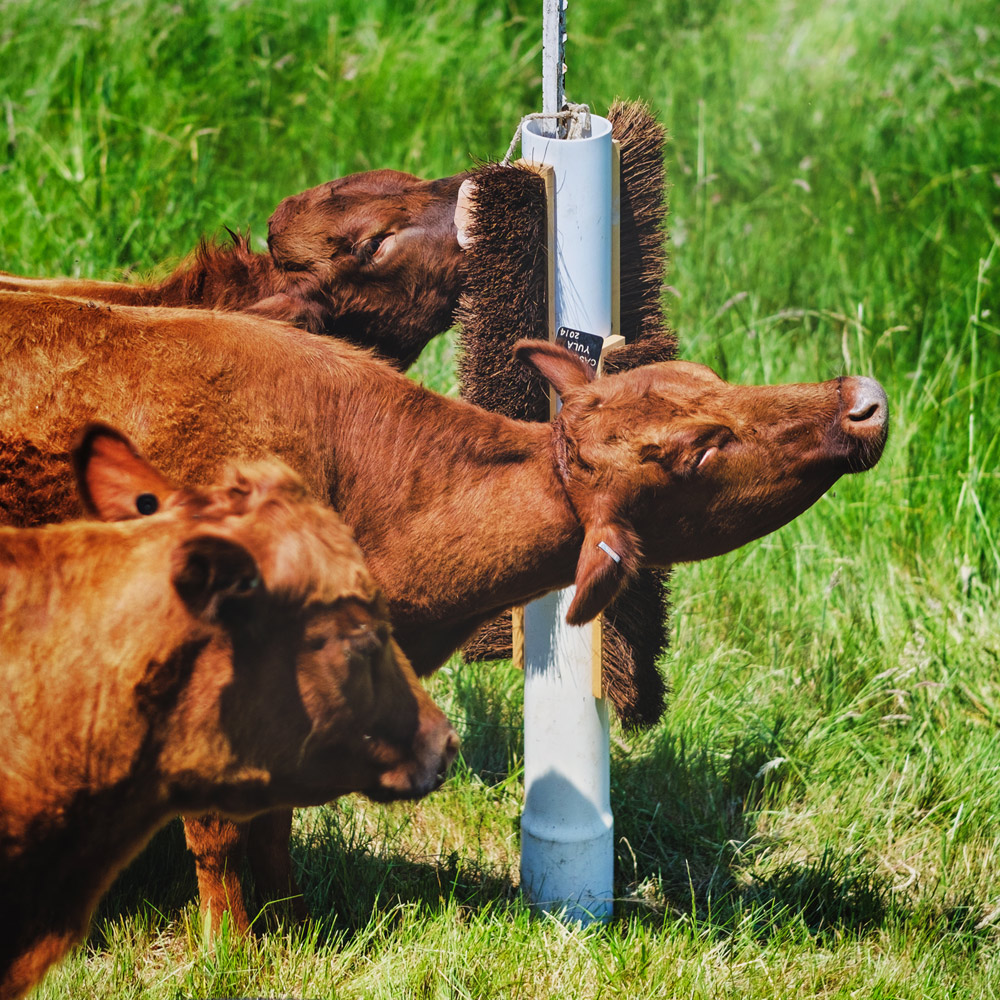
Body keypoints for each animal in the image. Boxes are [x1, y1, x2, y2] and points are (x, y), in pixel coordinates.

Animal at [0, 291, 889, 931]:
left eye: (706, 377)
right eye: (700, 449)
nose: (865, 396)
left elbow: (275, 823)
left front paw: (293, 923)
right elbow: (219, 831)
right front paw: (234, 949)